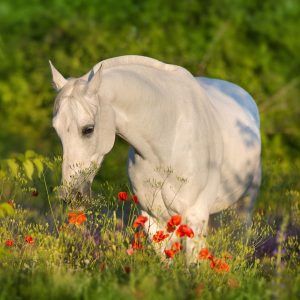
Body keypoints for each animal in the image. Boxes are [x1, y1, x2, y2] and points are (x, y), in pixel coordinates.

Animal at [49, 55, 260, 258]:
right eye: (56, 130)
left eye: (88, 129)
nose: (72, 194)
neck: (167, 138)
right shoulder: (154, 218)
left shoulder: (195, 216)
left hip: (245, 204)